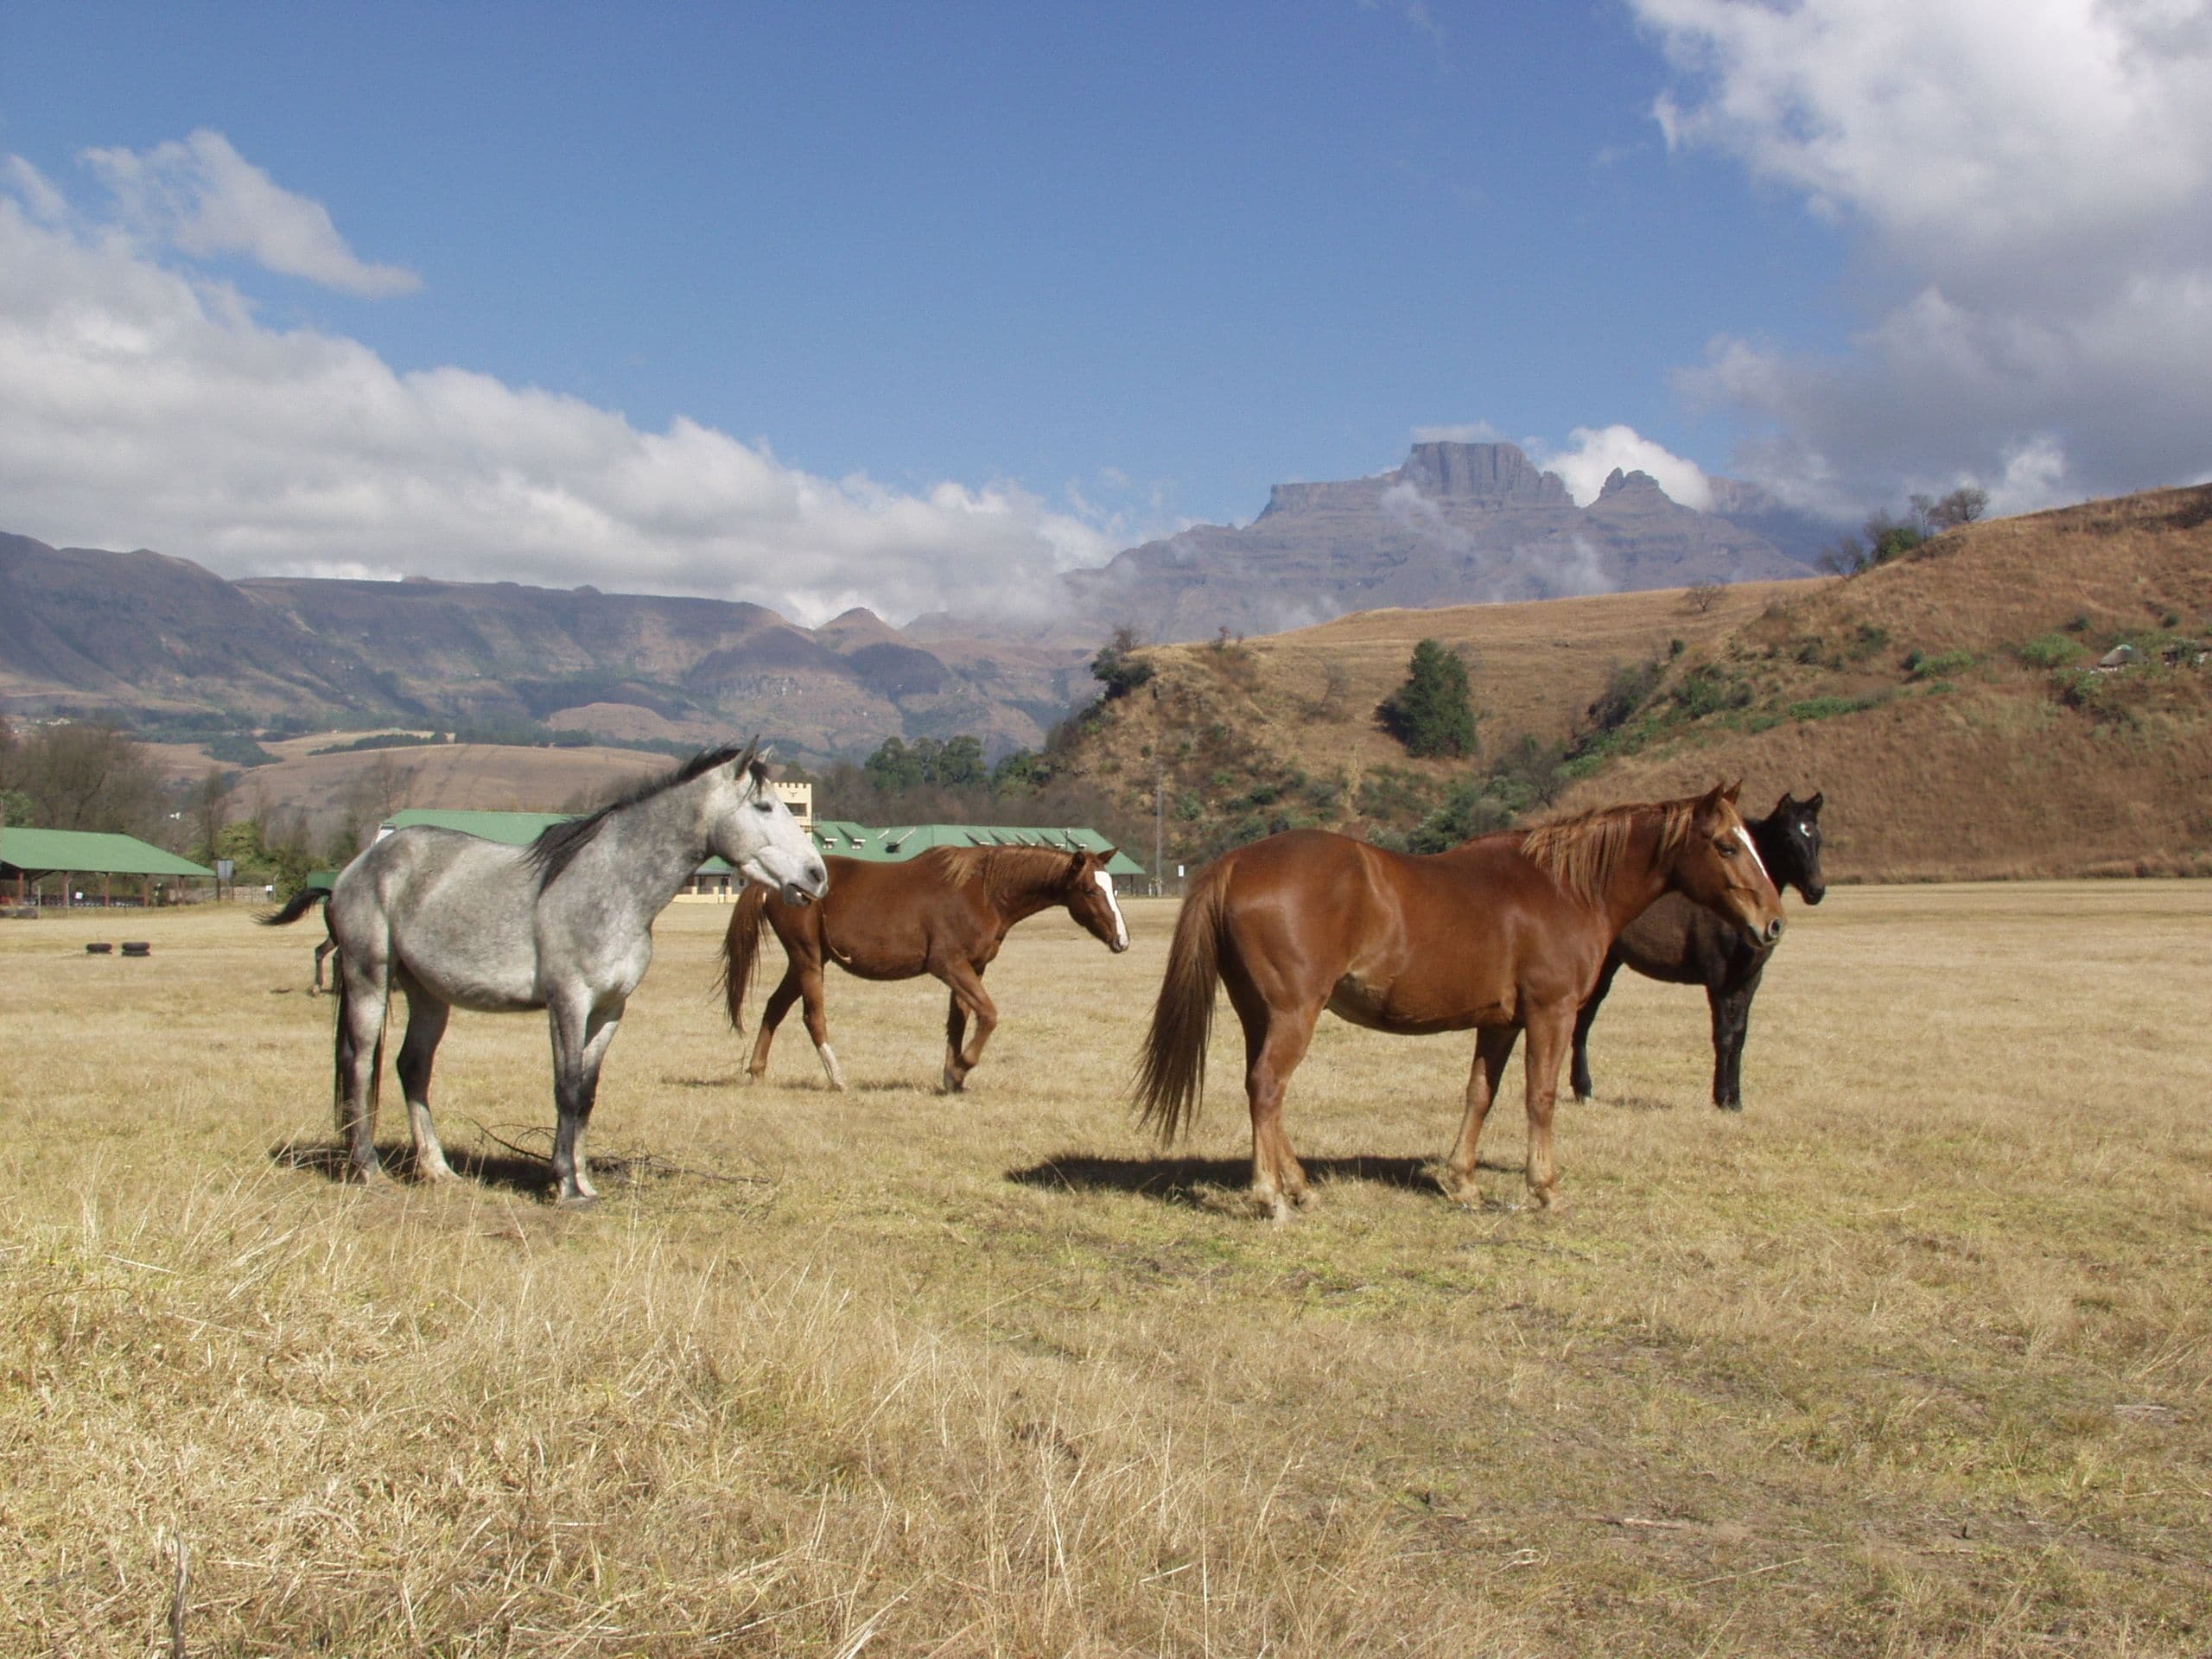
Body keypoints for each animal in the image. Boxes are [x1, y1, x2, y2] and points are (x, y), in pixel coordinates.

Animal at [265, 743, 826, 1204]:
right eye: (764, 807)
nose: (817, 875)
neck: (613, 887)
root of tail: (357, 868)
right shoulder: (568, 1003)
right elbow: (566, 1088)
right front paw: (564, 1187)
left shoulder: (608, 1010)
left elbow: (588, 1095)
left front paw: (584, 1181)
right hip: (369, 979)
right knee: (360, 1063)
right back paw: (367, 1169)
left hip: (428, 995)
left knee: (412, 1068)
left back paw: (437, 1170)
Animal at [722, 843, 1129, 1093]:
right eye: (1090, 891)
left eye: (1113, 888)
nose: (1122, 940)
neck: (982, 892)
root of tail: (773, 883)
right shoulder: (948, 965)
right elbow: (989, 1015)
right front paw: (962, 1067)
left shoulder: (972, 968)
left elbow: (959, 1022)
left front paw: (952, 1077)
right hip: (806, 958)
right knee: (813, 1017)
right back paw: (837, 1078)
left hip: (807, 960)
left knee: (775, 1007)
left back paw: (757, 1072)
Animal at [1133, 784, 1784, 1219]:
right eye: (1726, 846)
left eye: (1753, 842)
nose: (1774, 924)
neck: (1563, 888)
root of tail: (1235, 860)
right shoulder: (1551, 1013)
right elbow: (1541, 1098)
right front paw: (1545, 1188)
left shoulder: (1500, 1024)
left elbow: (1481, 1094)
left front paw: (1463, 1181)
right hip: (1295, 1012)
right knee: (1268, 1088)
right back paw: (1271, 1197)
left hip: (1260, 1014)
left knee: (1261, 1089)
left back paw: (1299, 1185)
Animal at [1570, 791, 1825, 1111]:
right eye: (1789, 837)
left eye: (1817, 837)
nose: (1817, 891)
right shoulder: (1719, 979)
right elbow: (1724, 1036)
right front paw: (1721, 1098)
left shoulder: (1749, 980)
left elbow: (1739, 1035)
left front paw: (1735, 1100)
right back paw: (1582, 1089)